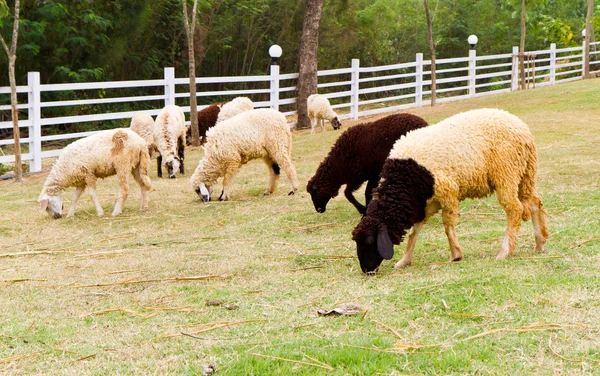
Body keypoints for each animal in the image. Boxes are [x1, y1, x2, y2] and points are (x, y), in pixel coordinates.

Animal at [352, 108, 548, 274]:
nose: (366, 270)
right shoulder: (425, 202)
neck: (404, 181)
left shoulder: (447, 190)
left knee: (515, 209)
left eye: (369, 241)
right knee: (534, 202)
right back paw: (539, 243)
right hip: (525, 173)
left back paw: (505, 251)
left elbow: (447, 225)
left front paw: (456, 255)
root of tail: (522, 129)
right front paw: (404, 261)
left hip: (506, 173)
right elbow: (415, 231)